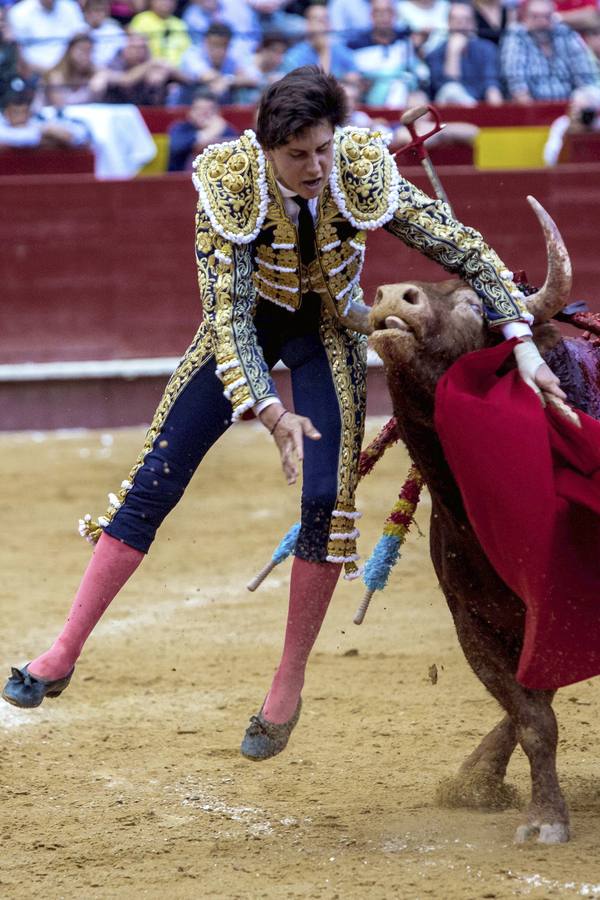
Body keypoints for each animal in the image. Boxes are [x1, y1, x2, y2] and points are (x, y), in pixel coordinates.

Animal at [368, 197, 596, 844]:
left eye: (476, 304)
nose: (393, 297)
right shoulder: (478, 624)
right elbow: (531, 715)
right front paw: (519, 804)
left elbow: (536, 706)